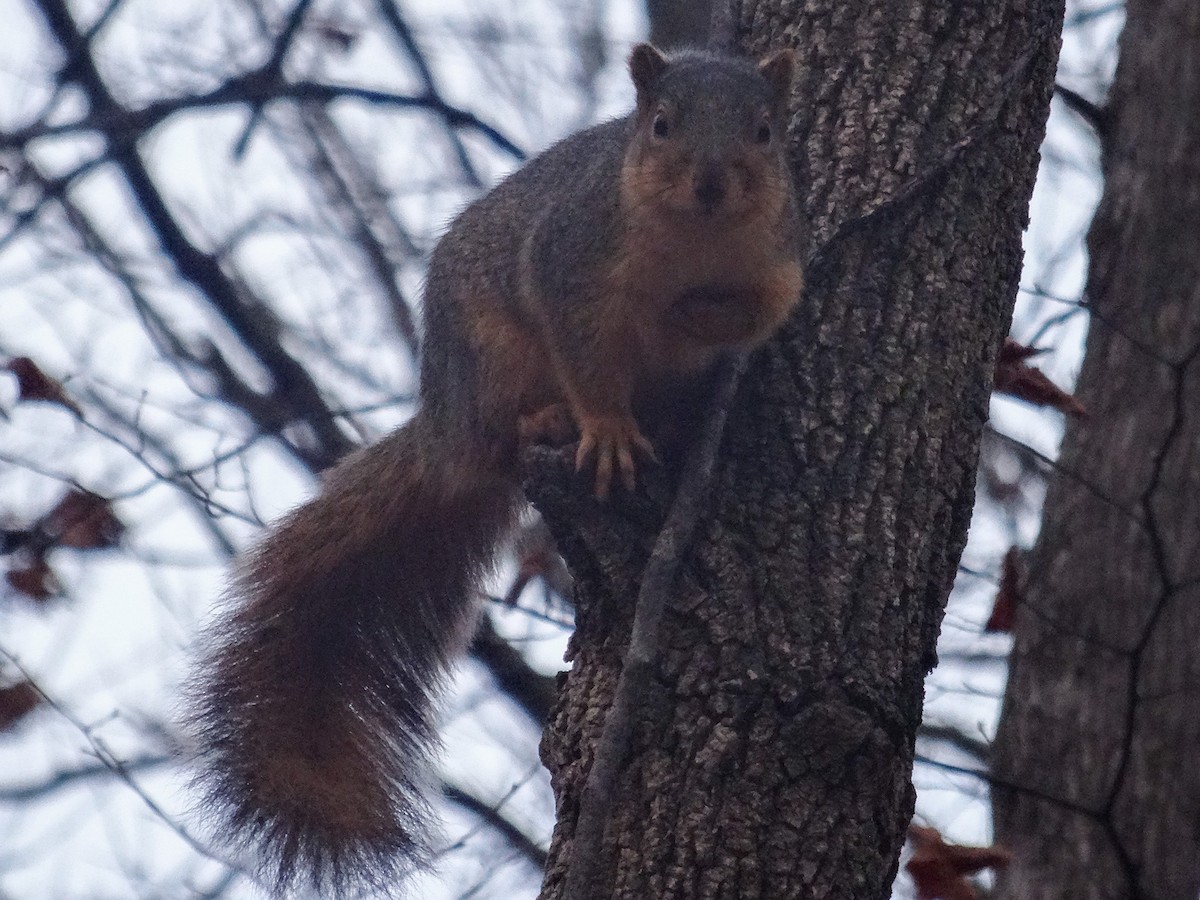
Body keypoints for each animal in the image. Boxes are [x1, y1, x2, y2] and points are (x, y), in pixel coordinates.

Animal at [189, 43, 802, 895]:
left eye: (765, 132)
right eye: (661, 124)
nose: (712, 183)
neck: (694, 242)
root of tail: (443, 428)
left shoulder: (778, 261)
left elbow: (757, 310)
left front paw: (697, 316)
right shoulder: (574, 265)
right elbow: (589, 354)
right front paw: (607, 429)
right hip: (493, 358)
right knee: (505, 436)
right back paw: (549, 424)